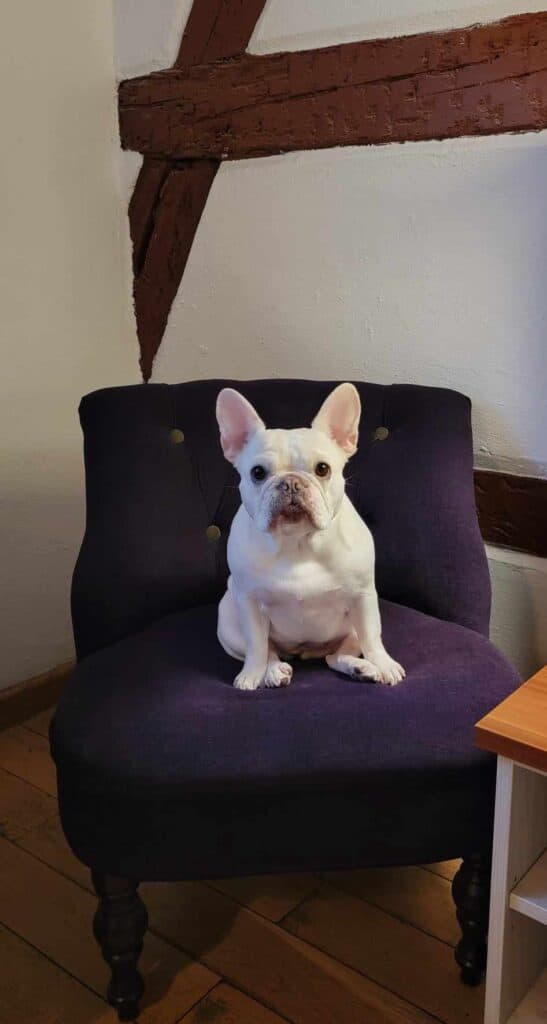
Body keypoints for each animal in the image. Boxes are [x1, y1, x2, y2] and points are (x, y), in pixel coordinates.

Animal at [216, 387, 405, 692]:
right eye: (258, 473)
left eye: (322, 469)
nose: (291, 483)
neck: (298, 543)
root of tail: (303, 651)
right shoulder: (249, 602)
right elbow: (257, 646)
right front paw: (252, 674)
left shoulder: (363, 596)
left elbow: (372, 637)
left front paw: (383, 664)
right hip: (229, 623)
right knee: (269, 651)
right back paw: (272, 672)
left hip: (349, 630)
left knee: (335, 656)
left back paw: (360, 667)